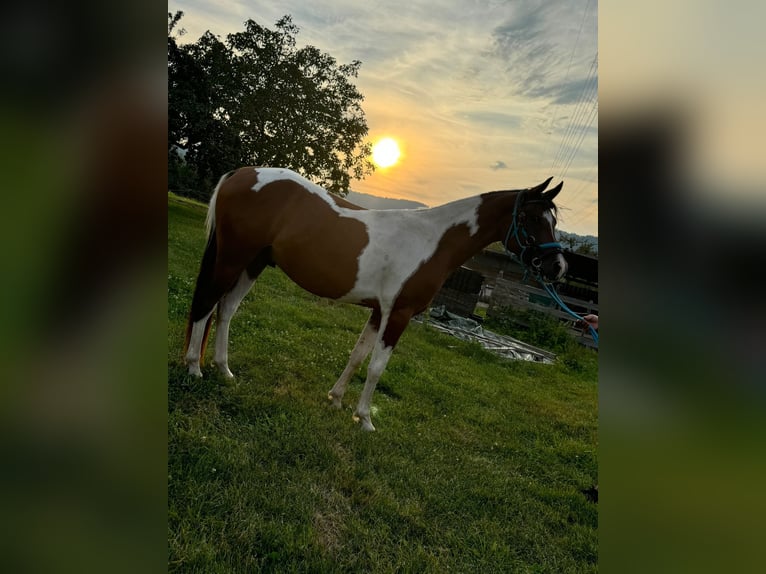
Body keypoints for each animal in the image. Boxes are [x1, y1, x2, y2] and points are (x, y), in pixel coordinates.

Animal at [184, 166, 568, 432]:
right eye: (530, 218)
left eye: (552, 219)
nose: (558, 267)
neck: (433, 241)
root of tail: (242, 173)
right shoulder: (398, 314)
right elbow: (376, 368)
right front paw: (365, 419)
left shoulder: (378, 312)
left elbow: (357, 358)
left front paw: (336, 400)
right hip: (232, 258)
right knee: (206, 304)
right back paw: (194, 367)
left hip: (254, 262)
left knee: (227, 309)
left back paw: (224, 369)